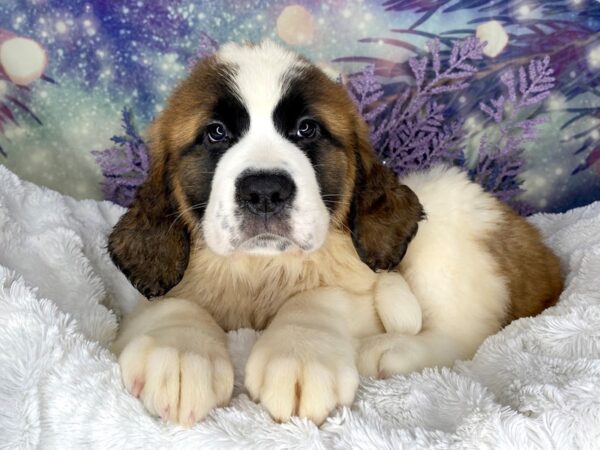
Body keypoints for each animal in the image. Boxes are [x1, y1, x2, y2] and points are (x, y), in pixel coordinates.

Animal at [110, 41, 564, 426]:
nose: (264, 192)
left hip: (445, 218)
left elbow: (319, 295)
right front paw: (180, 354)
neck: (262, 269)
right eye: (216, 133)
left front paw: (300, 356)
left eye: (306, 130)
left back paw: (389, 351)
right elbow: (173, 303)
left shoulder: (359, 284)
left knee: (463, 337)